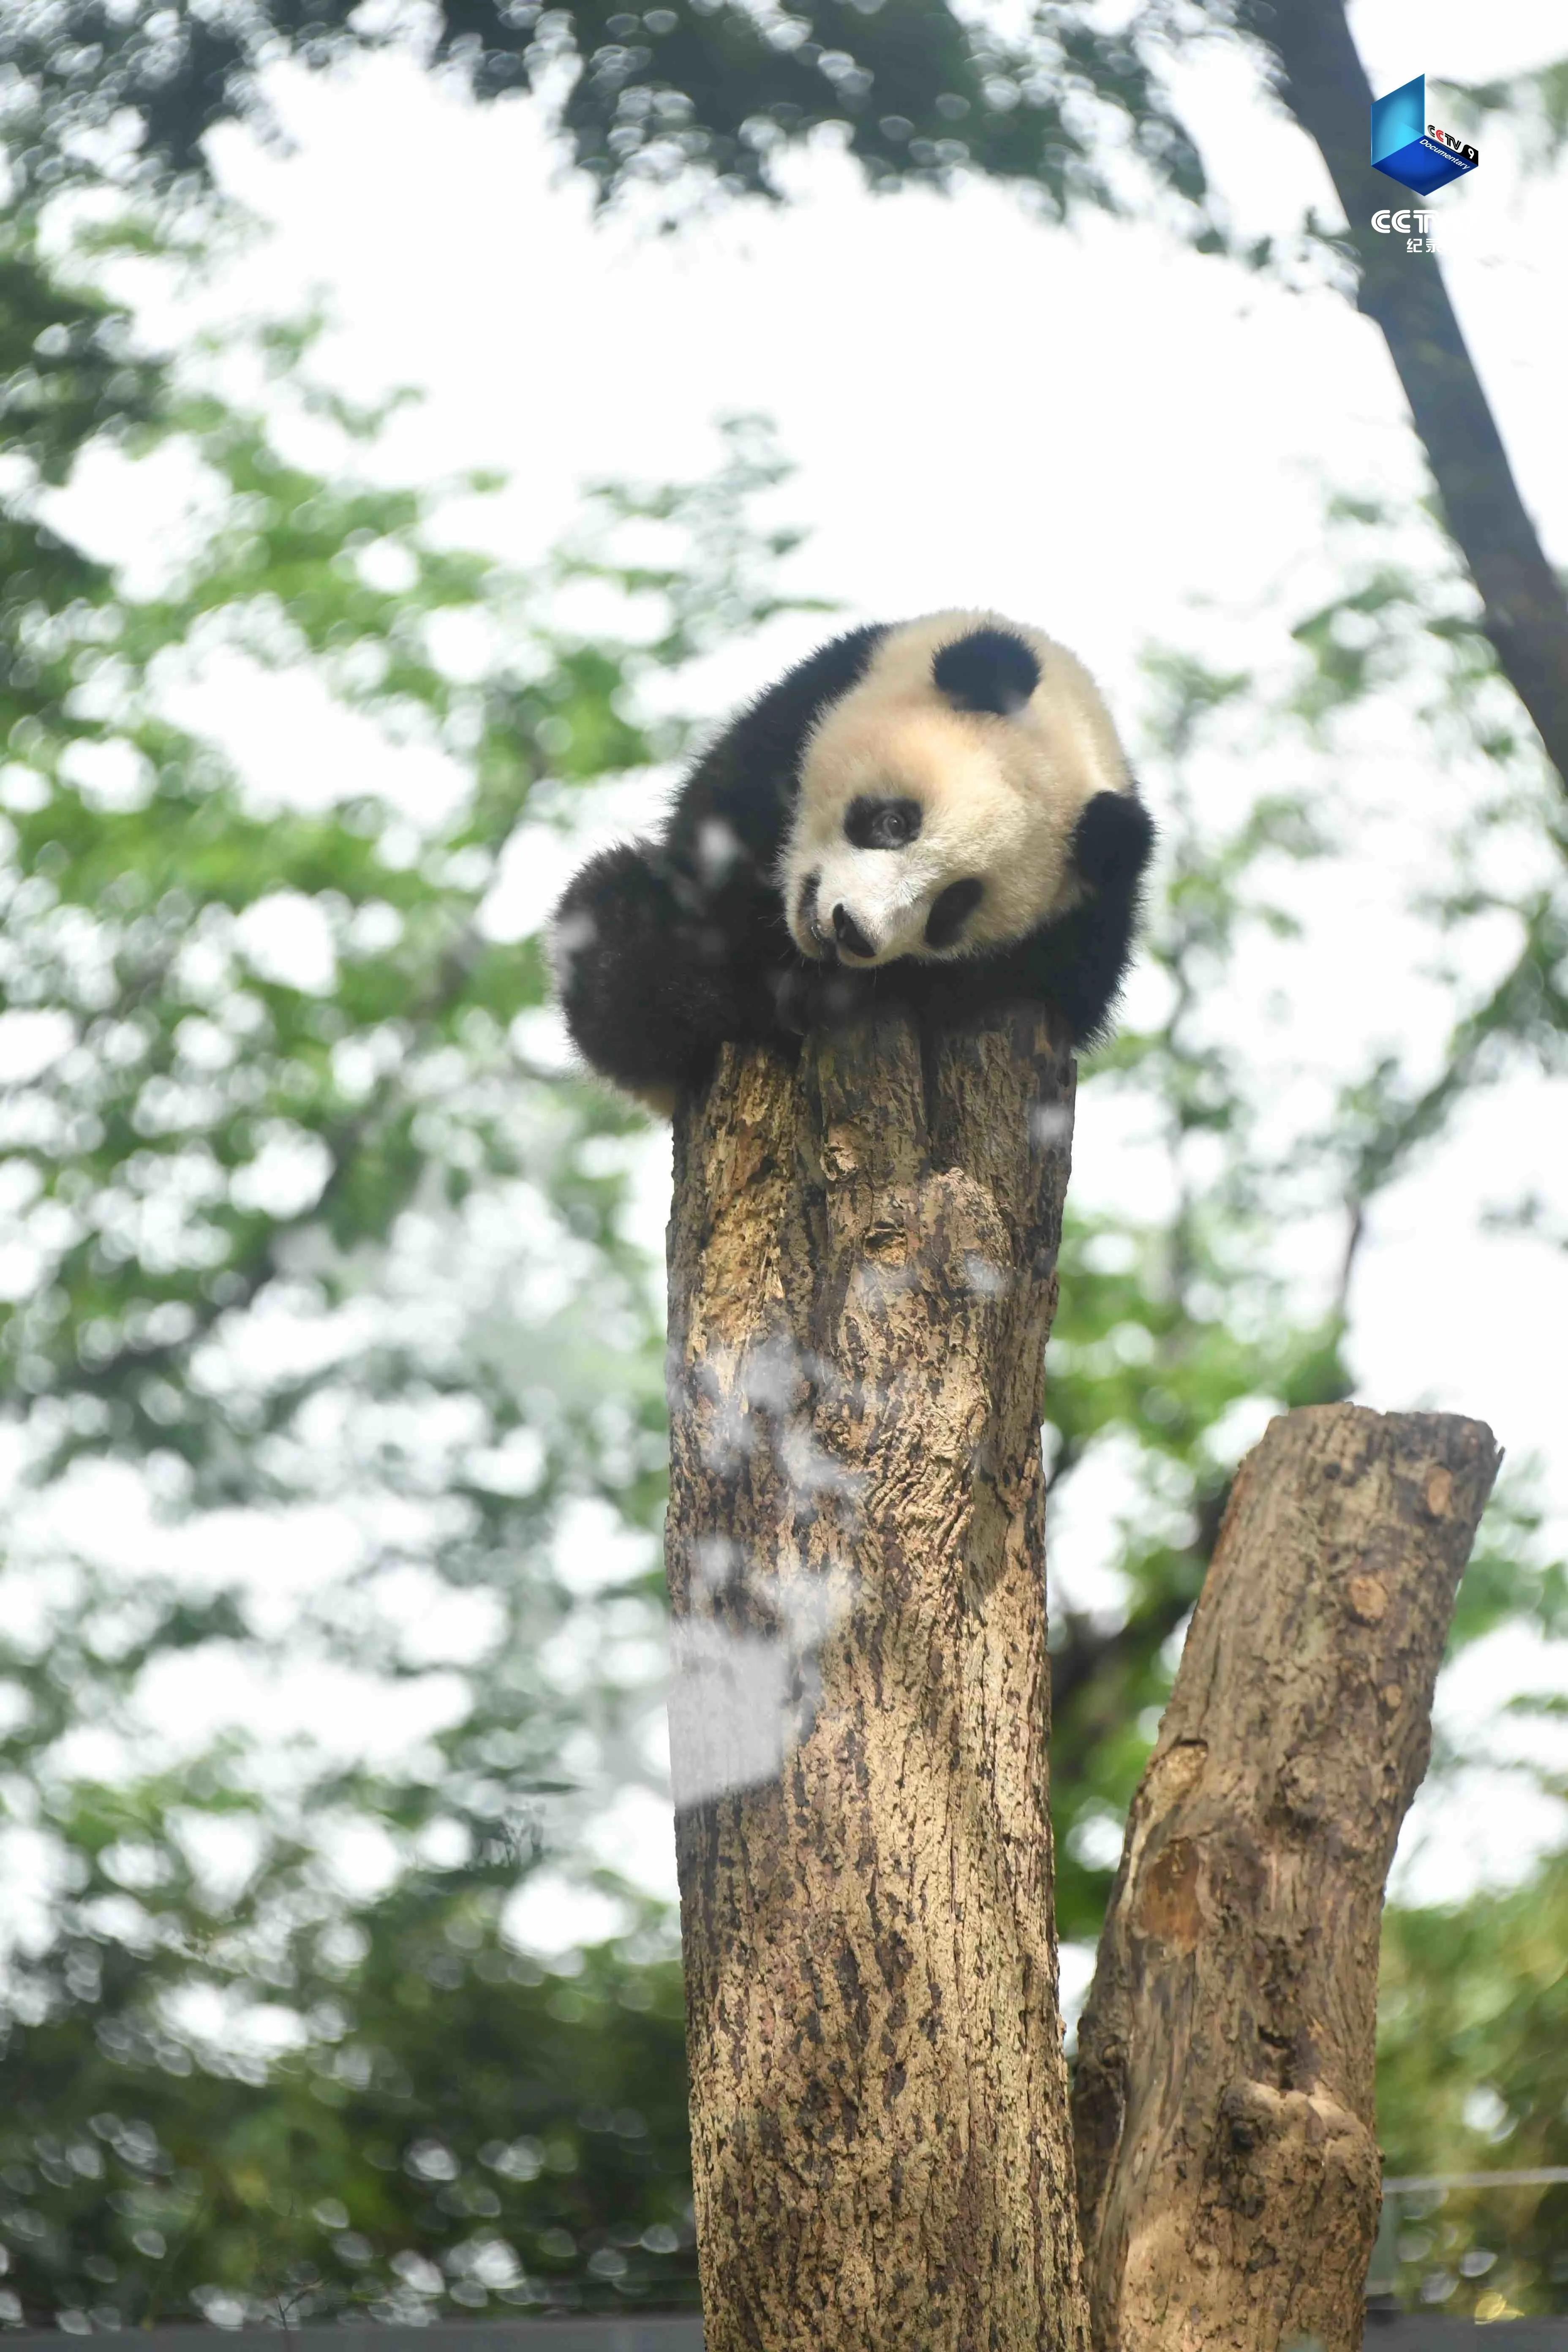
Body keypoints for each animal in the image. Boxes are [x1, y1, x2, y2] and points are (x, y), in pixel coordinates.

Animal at [552, 616, 1152, 1110]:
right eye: (894, 822)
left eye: (952, 909)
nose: (851, 929)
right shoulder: (793, 721)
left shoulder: (1079, 944)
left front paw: (818, 997)